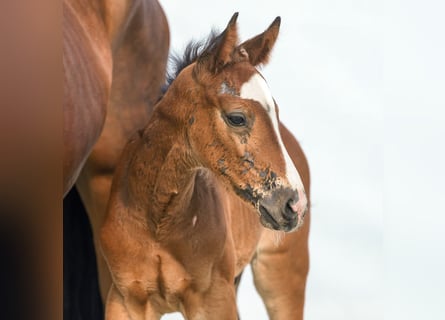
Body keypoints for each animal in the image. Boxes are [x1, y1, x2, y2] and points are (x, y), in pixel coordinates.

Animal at [100, 13, 308, 318]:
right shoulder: (125, 298)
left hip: (282, 269)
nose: (294, 203)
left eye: (276, 113)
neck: (159, 222)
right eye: (237, 117)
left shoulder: (215, 299)